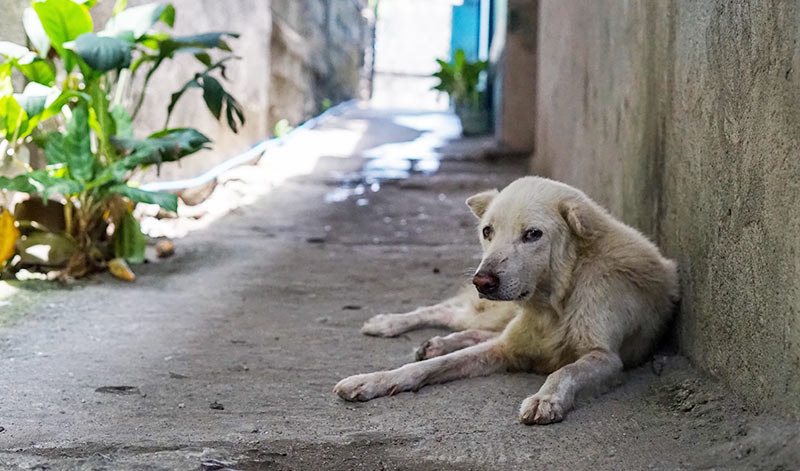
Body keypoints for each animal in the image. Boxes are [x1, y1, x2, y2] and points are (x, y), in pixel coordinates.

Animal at [334, 178, 680, 428]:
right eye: (487, 231)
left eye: (533, 234)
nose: (482, 281)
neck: (555, 304)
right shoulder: (505, 347)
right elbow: (427, 367)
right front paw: (372, 380)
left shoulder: (606, 358)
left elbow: (564, 371)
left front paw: (545, 399)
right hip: (492, 312)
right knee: (449, 313)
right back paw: (389, 324)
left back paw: (436, 342)